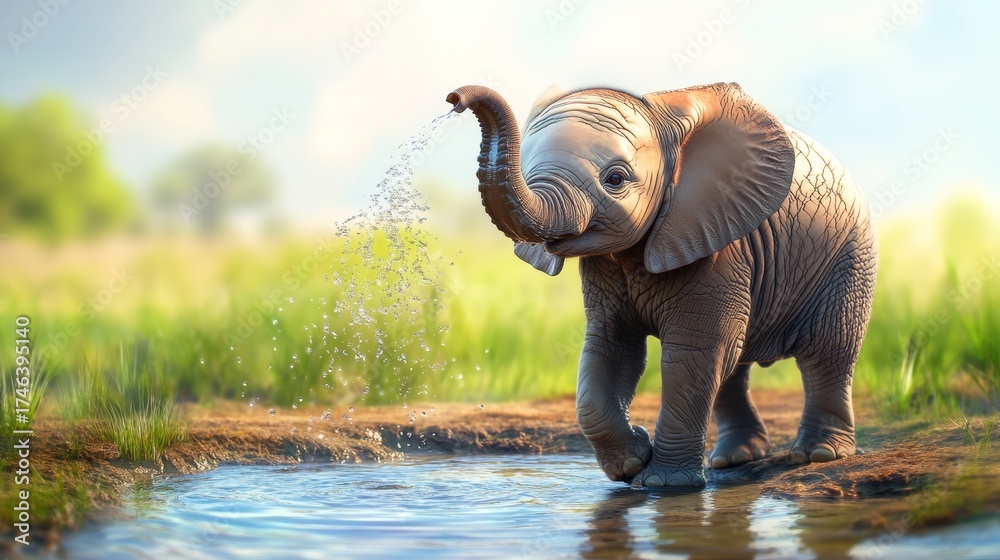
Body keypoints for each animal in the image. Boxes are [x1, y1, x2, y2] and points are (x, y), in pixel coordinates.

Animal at [445, 82, 877, 488]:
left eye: (615, 179)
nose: (454, 99)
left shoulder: (714, 243)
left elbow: (692, 353)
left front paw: (664, 485)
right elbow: (609, 348)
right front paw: (630, 463)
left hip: (850, 256)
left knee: (828, 353)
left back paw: (820, 455)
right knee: (733, 365)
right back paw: (733, 459)